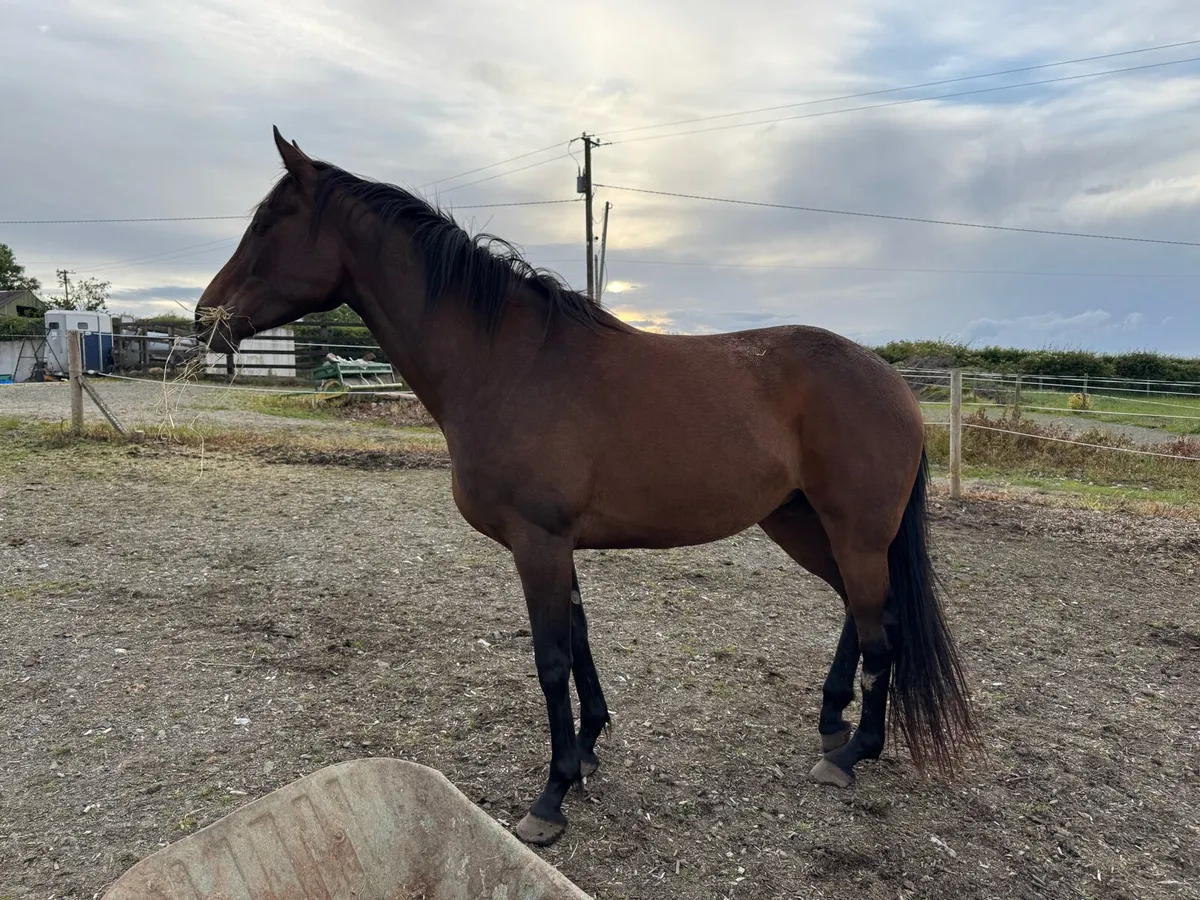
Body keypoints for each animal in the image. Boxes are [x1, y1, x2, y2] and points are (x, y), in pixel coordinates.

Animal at [195, 127, 977, 847]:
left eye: (268, 222)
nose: (206, 318)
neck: (506, 362)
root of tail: (894, 383)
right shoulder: (556, 544)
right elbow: (579, 641)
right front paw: (590, 747)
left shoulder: (536, 542)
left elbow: (550, 660)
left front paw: (552, 795)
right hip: (804, 524)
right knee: (857, 610)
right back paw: (831, 721)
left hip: (854, 531)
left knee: (883, 631)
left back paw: (851, 753)